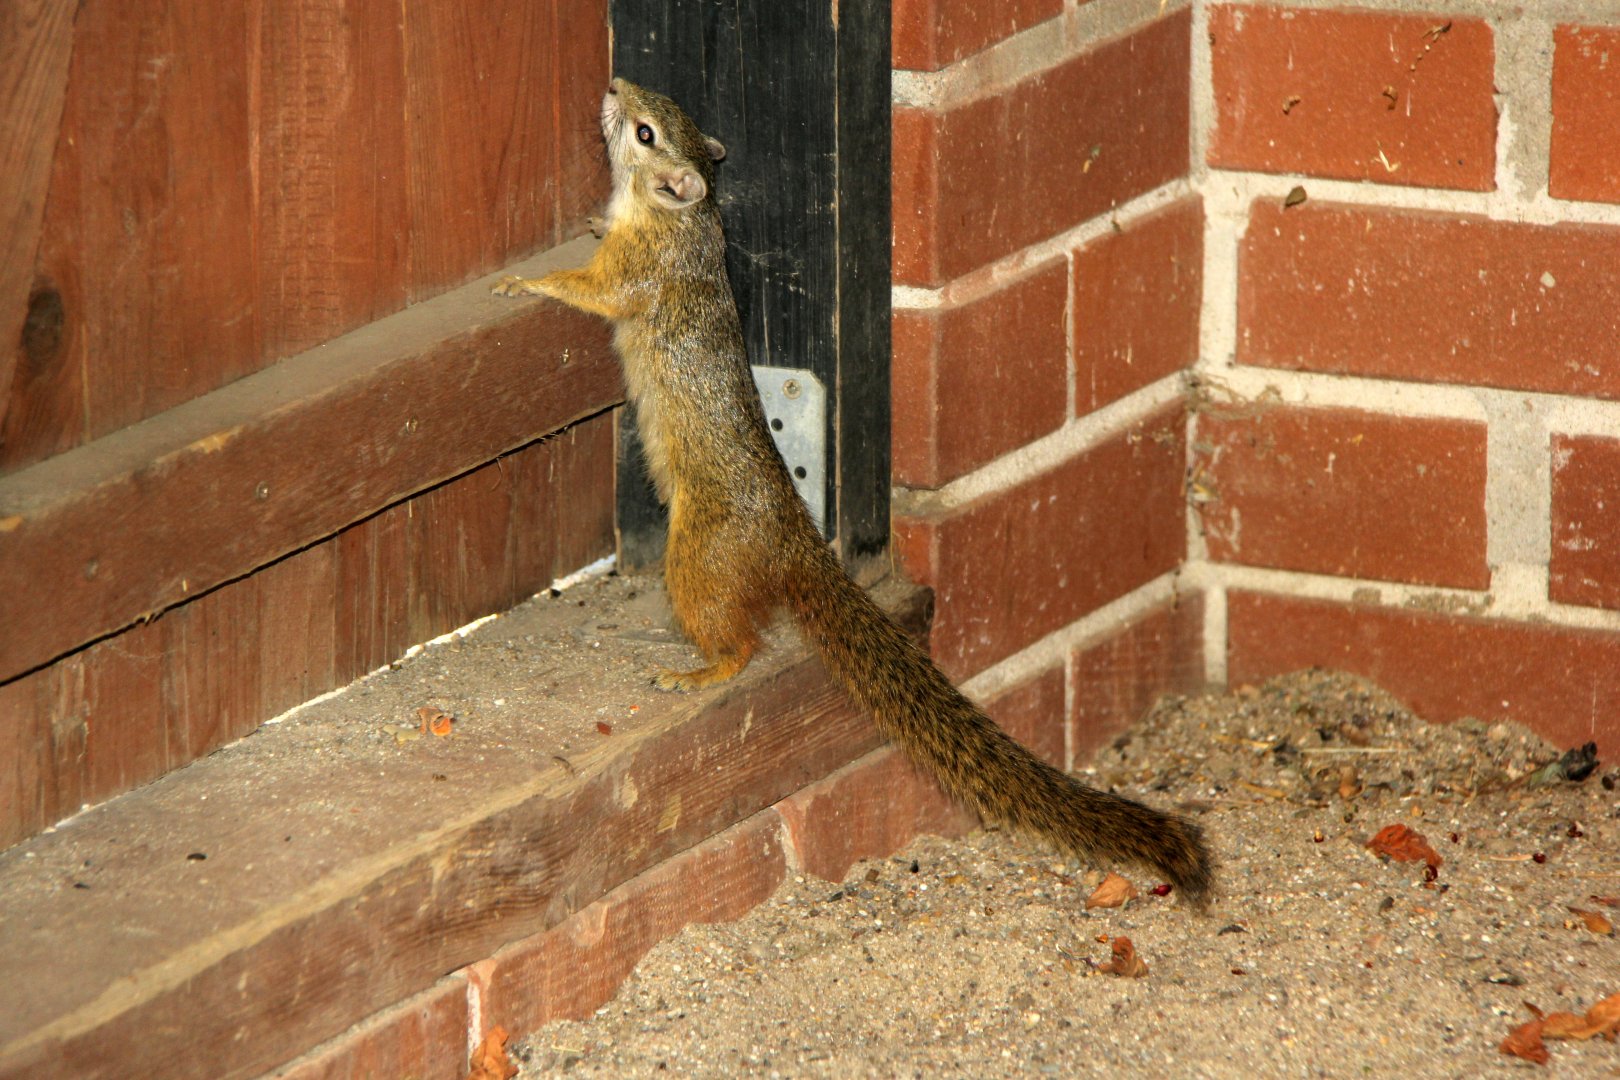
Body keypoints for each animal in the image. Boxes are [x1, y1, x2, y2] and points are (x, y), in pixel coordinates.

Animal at [495, 79, 1214, 908]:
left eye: (644, 132)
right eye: (660, 110)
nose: (615, 86)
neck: (681, 220)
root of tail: (793, 542)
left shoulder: (634, 272)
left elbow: (588, 290)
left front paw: (523, 281)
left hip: (696, 565)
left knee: (743, 643)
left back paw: (697, 670)